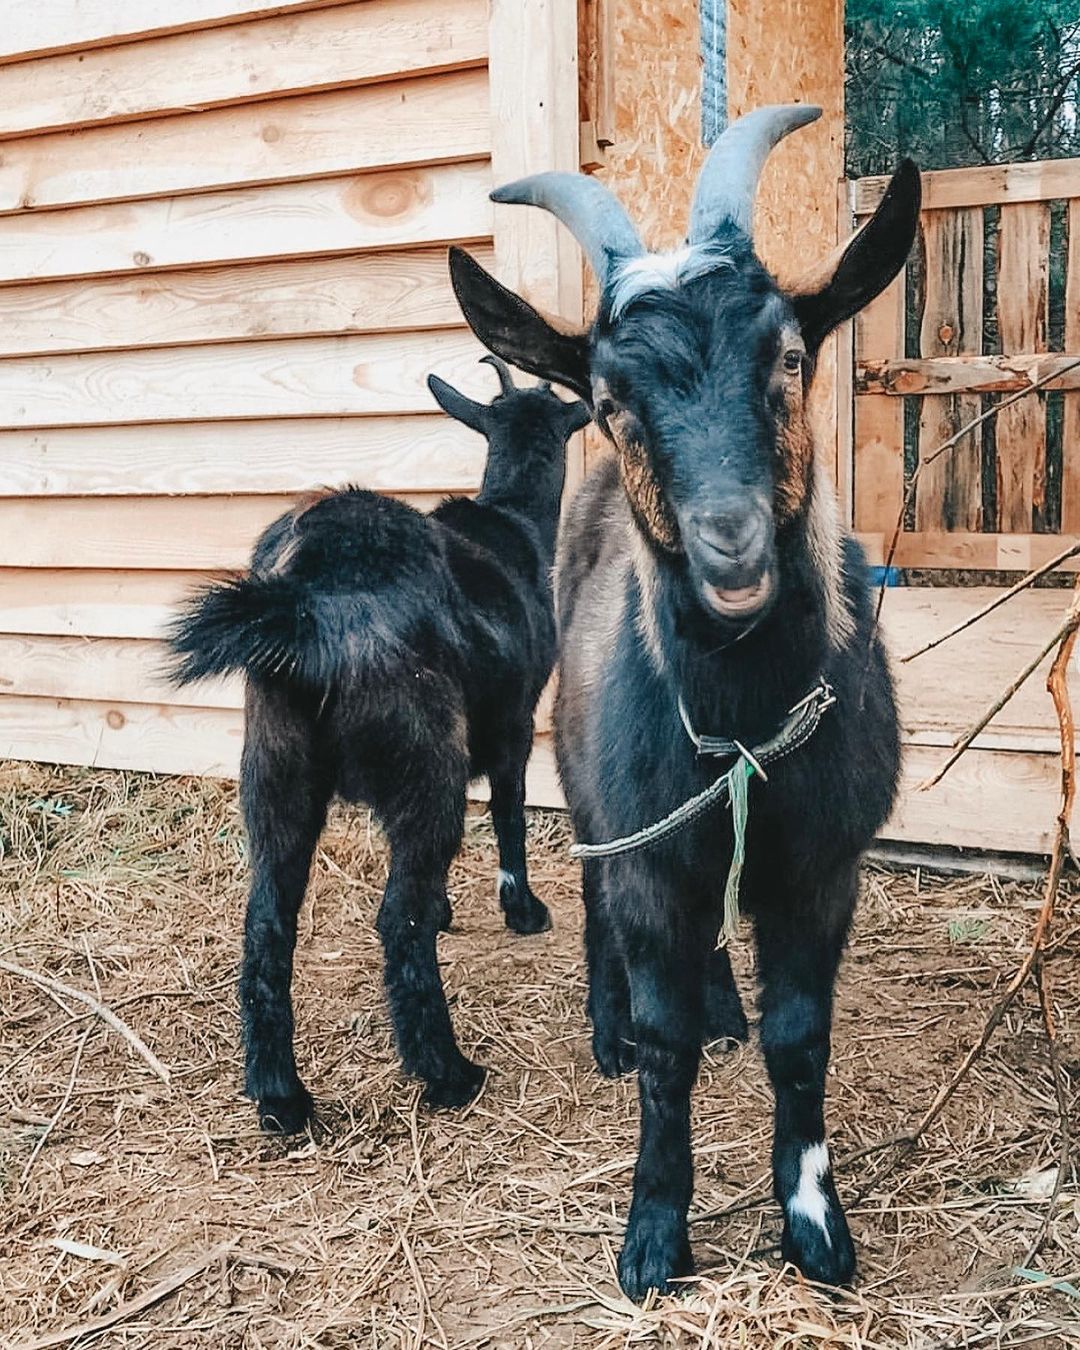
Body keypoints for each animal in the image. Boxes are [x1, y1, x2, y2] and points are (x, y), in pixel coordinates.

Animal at [170, 356, 591, 1128]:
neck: (513, 523)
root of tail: (313, 596)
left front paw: (450, 908)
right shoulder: (515, 722)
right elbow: (510, 813)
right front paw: (521, 910)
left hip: (275, 770)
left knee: (267, 924)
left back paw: (279, 1097)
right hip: (426, 760)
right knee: (397, 920)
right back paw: (448, 1072)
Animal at [448, 108, 918, 1296]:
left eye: (790, 357)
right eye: (614, 402)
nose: (732, 547)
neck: (745, 726)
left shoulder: (822, 866)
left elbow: (802, 1039)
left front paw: (815, 1226)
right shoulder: (652, 853)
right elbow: (664, 1049)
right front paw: (654, 1233)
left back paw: (723, 1011)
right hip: (587, 784)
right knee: (598, 910)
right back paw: (613, 1030)